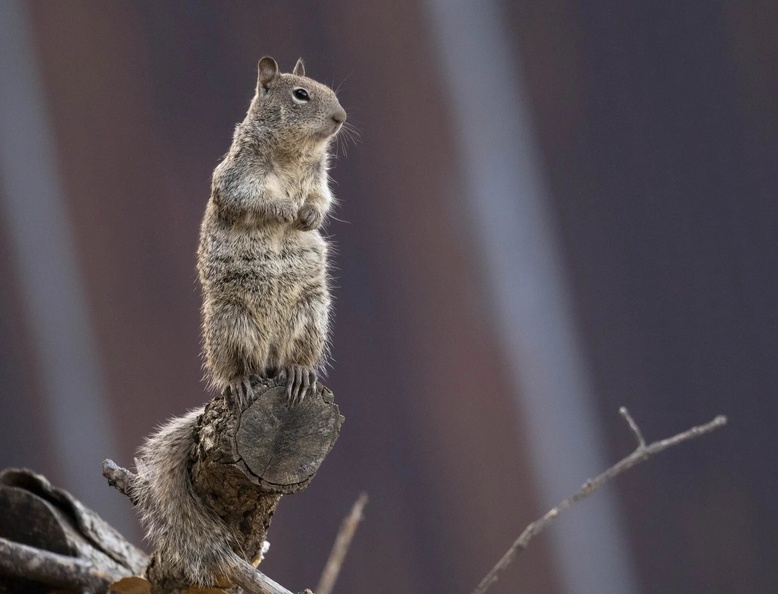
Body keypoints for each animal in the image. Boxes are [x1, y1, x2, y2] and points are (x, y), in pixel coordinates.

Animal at [132, 57, 346, 591]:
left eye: (327, 89)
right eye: (300, 94)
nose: (341, 117)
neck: (293, 156)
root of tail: (269, 360)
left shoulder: (320, 180)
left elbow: (323, 198)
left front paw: (310, 216)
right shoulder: (238, 178)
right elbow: (253, 201)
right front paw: (287, 210)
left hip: (311, 314)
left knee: (294, 359)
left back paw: (298, 373)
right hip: (232, 324)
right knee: (236, 370)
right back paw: (244, 382)